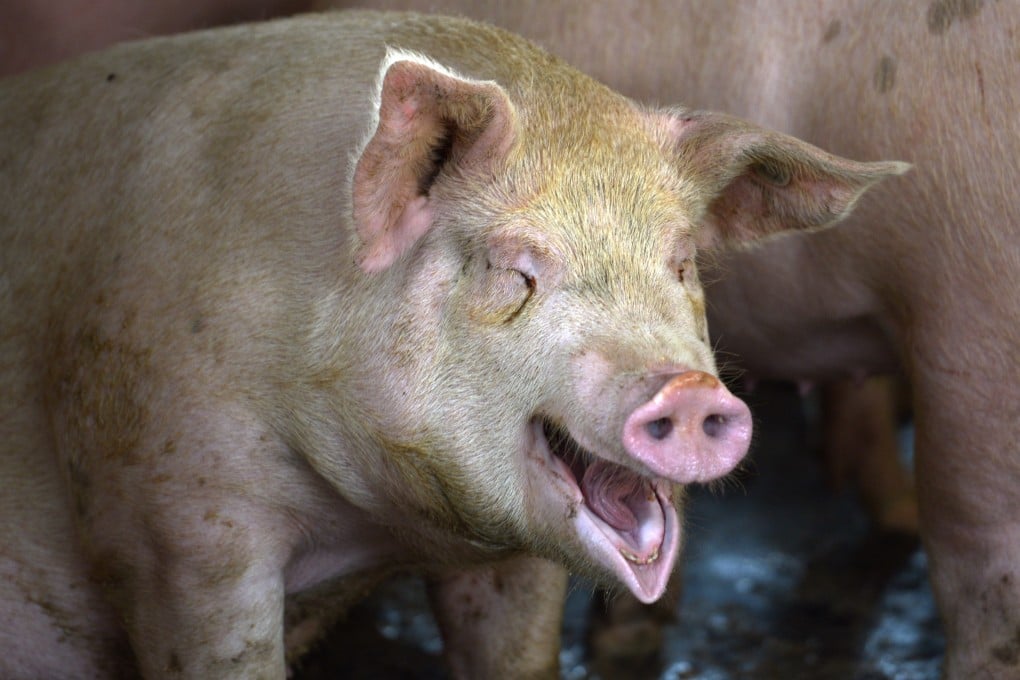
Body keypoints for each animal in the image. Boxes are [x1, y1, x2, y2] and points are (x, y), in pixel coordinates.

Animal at [0, 9, 905, 678]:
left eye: (681, 262)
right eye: (515, 270)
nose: (688, 393)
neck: (369, 527)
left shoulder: (515, 560)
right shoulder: (170, 527)